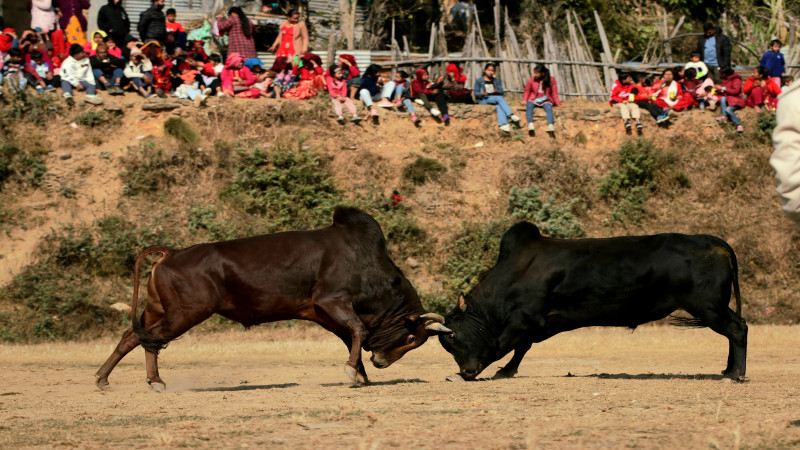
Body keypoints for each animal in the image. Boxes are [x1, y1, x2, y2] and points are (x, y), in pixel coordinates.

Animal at [95, 207, 450, 390]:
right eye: (410, 338)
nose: (382, 362)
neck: (368, 265)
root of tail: (173, 252)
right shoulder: (332, 302)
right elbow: (358, 332)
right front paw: (354, 371)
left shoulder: (323, 314)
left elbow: (351, 336)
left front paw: (361, 374)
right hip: (184, 313)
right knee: (148, 340)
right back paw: (139, 380)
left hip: (160, 311)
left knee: (135, 337)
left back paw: (118, 379)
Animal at [440, 223, 748, 382]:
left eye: (453, 336)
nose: (466, 370)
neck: (515, 272)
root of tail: (711, 240)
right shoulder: (537, 323)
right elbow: (521, 348)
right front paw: (507, 371)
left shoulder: (524, 319)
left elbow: (502, 344)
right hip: (715, 307)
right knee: (737, 327)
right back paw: (728, 369)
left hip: (709, 307)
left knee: (737, 329)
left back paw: (736, 374)